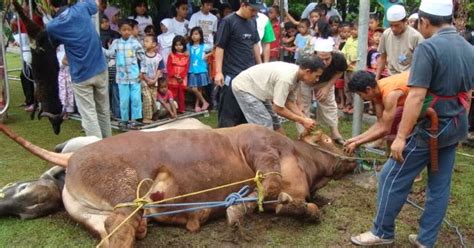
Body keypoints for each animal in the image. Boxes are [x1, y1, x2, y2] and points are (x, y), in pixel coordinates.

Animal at [0, 123, 356, 247]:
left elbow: (307, 207)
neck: (305, 163)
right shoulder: (259, 146)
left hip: (89, 212)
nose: (352, 154)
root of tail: (72, 158)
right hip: (125, 188)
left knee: (111, 231)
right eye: (329, 140)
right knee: (120, 226)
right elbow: (268, 182)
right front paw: (235, 211)